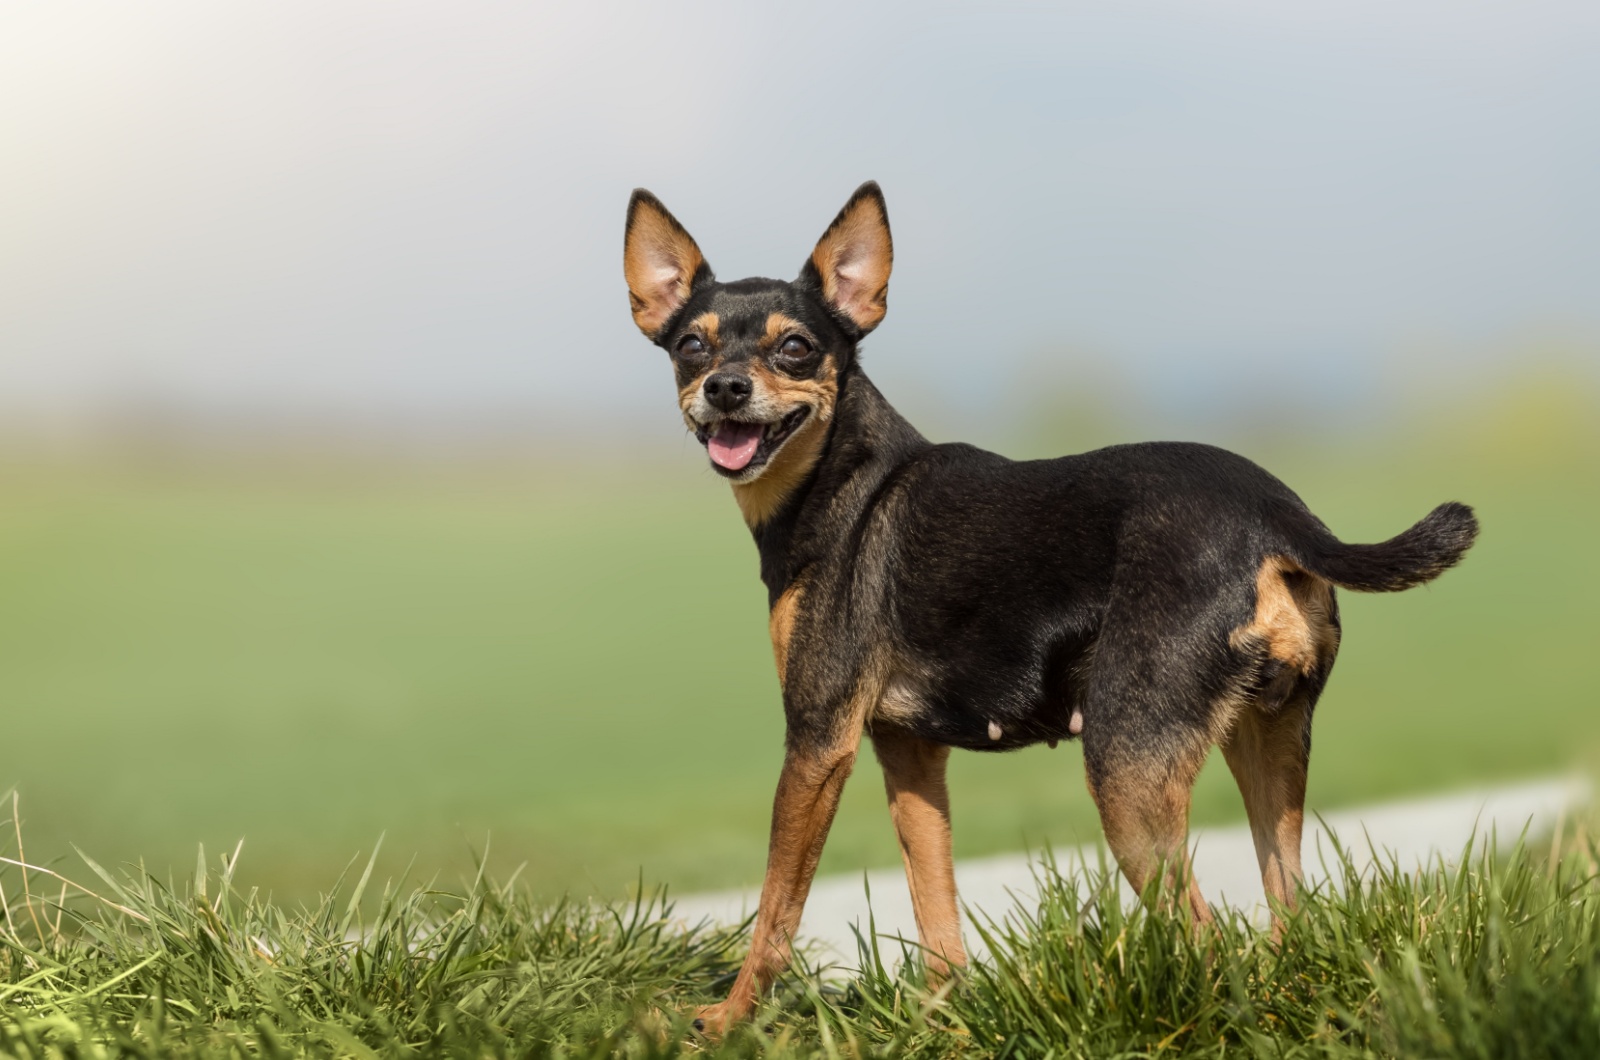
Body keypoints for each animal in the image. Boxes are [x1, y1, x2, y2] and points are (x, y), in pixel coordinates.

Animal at [617, 184, 1478, 1037]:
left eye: (794, 348)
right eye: (690, 347)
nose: (724, 388)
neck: (841, 477)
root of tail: (1278, 516)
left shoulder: (818, 740)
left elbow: (776, 909)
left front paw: (729, 1020)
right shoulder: (909, 754)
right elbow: (935, 906)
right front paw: (942, 1021)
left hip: (1127, 770)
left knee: (1206, 938)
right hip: (1267, 744)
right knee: (1286, 909)